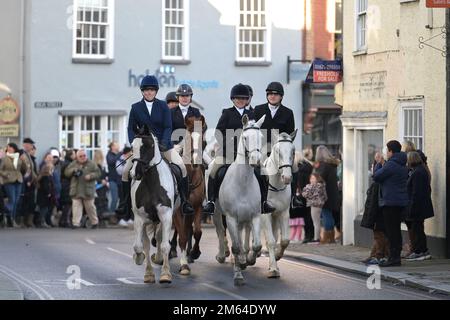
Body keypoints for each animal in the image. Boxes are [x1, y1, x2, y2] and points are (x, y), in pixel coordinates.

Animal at [128, 124, 178, 284]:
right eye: (132, 146)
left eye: (148, 146)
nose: (134, 173)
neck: (151, 183)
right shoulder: (140, 218)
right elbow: (140, 246)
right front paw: (139, 258)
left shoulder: (166, 215)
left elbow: (165, 245)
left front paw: (166, 274)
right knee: (147, 243)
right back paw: (149, 272)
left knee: (160, 237)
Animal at [214, 114, 266, 286]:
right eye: (244, 137)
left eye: (261, 137)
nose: (256, 160)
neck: (243, 182)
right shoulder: (230, 217)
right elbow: (235, 246)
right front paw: (238, 275)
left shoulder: (255, 215)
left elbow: (257, 245)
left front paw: (248, 260)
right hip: (217, 213)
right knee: (220, 230)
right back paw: (222, 255)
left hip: (244, 218)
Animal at [258, 130, 298, 278]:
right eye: (277, 151)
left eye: (293, 151)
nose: (286, 177)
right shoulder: (265, 215)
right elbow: (270, 241)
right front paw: (273, 269)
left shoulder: (283, 213)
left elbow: (284, 240)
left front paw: (276, 257)